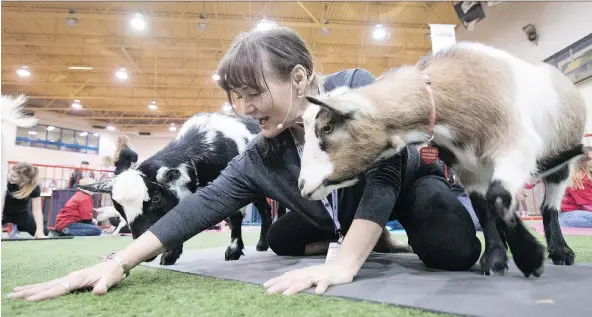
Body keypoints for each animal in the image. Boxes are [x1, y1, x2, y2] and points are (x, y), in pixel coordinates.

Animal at [80, 111, 284, 264]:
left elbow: (235, 217)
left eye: (156, 198)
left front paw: (233, 250)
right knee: (265, 210)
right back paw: (262, 243)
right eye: (118, 207)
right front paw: (171, 254)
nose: (146, 253)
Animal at [298, 41, 588, 276]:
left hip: (560, 158)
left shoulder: (516, 143)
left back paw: (561, 251)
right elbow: (484, 208)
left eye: (326, 128)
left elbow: (497, 197)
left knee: (550, 205)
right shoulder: (467, 168)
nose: (302, 186)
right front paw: (495, 259)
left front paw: (530, 258)